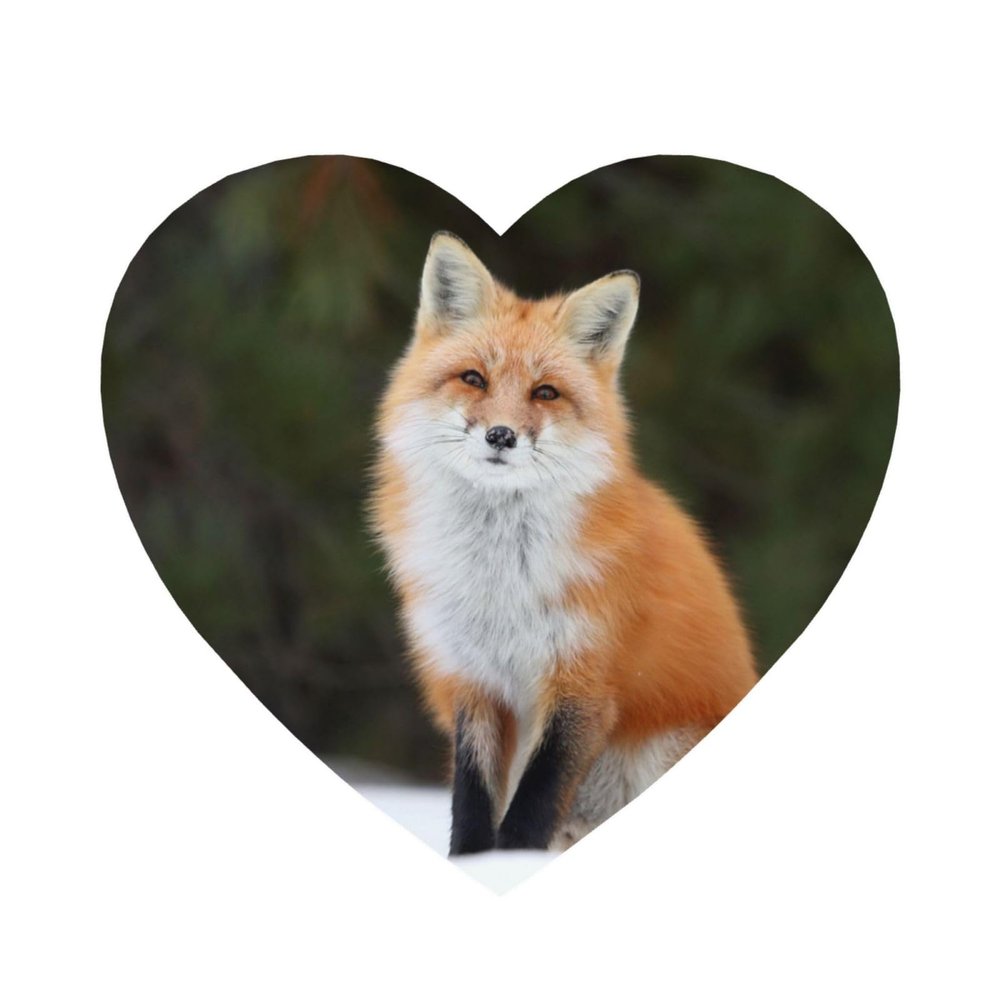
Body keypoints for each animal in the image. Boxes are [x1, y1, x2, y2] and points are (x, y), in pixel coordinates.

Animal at [370, 232, 757, 855]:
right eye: (473, 378)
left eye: (545, 392)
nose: (500, 435)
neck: (499, 584)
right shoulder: (472, 680)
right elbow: (473, 804)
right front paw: (476, 864)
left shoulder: (583, 682)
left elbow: (533, 804)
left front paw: (509, 862)